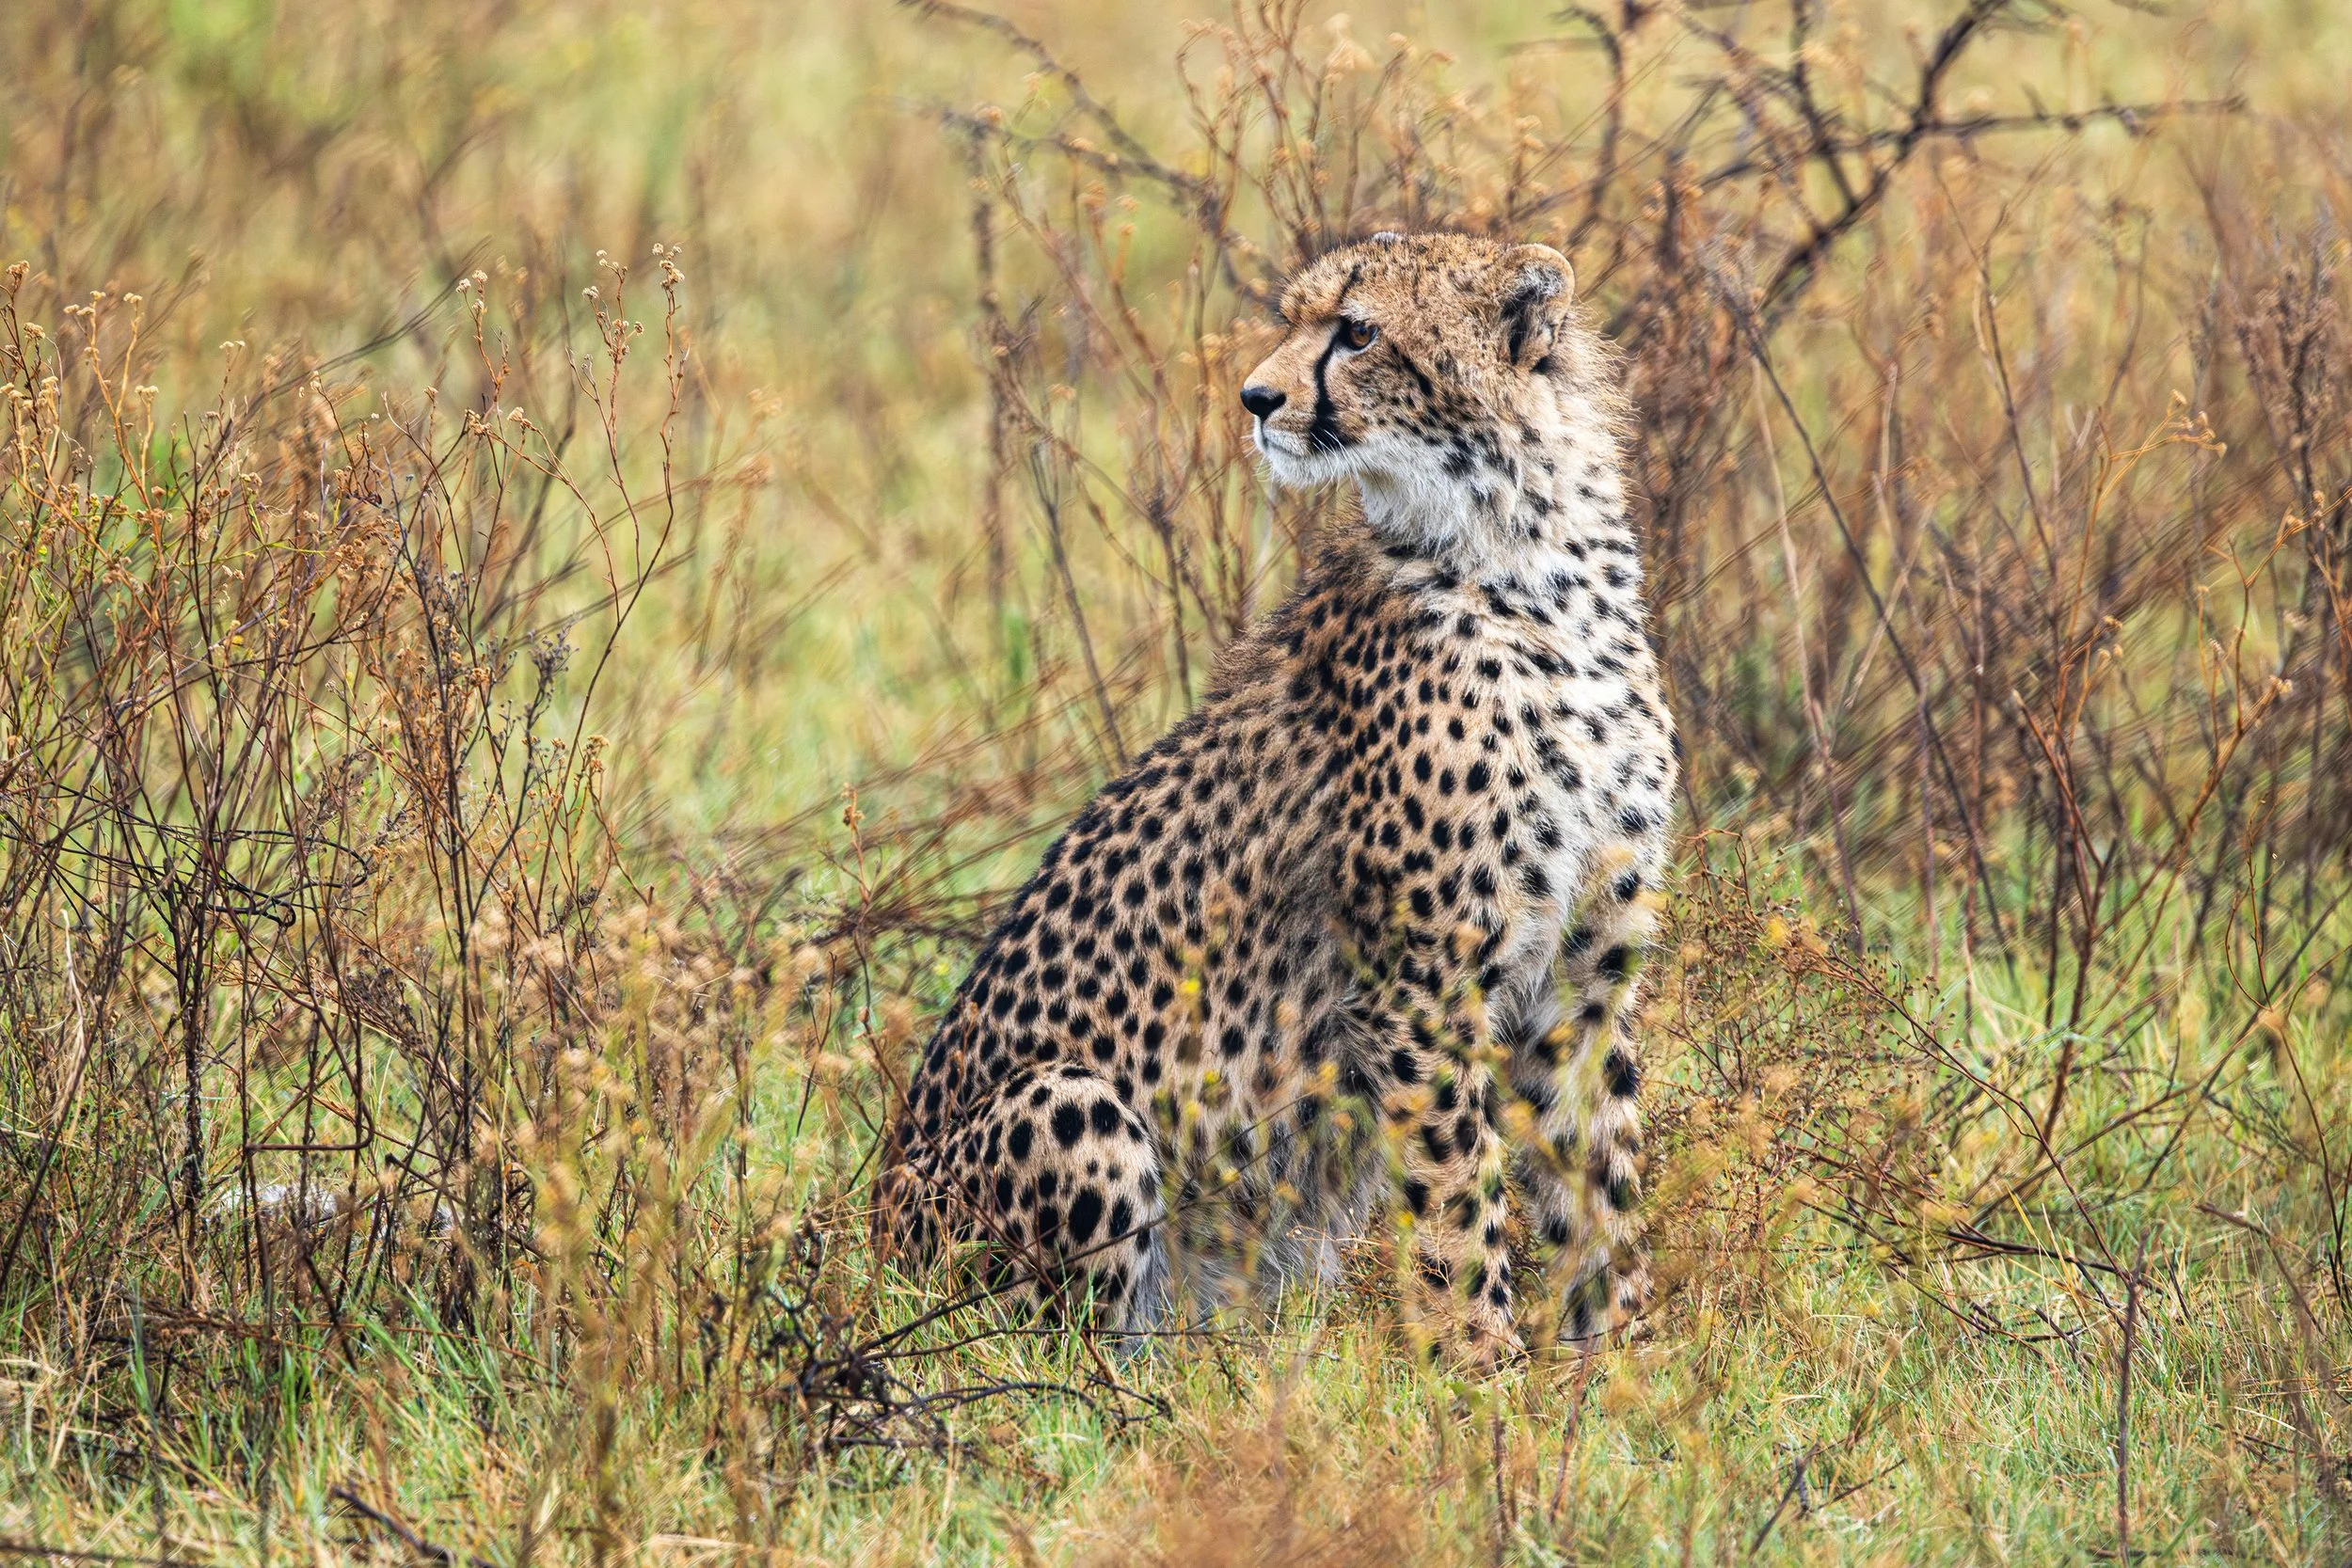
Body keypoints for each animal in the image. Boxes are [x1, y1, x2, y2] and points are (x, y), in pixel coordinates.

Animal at [877, 230, 1676, 1367]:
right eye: (1296, 318)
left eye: (1359, 331)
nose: (1255, 397)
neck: (1530, 556)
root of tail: (863, 1233)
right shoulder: (1416, 983)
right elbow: (1454, 1194)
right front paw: (1478, 1363)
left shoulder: (1586, 968)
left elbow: (1598, 1175)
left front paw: (1624, 1361)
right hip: (1067, 1108)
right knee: (1046, 1357)